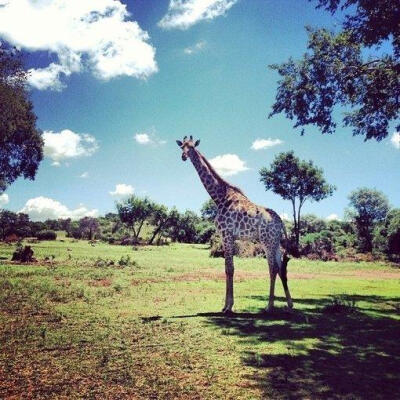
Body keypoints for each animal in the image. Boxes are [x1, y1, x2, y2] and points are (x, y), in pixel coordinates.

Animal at [177, 136, 292, 314]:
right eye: (182, 146)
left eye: (192, 147)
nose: (183, 156)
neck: (219, 197)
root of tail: (281, 223)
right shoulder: (228, 236)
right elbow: (227, 268)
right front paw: (226, 305)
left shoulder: (226, 234)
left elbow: (229, 268)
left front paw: (228, 307)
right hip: (275, 243)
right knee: (280, 268)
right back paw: (289, 304)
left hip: (267, 240)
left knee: (272, 268)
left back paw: (269, 306)